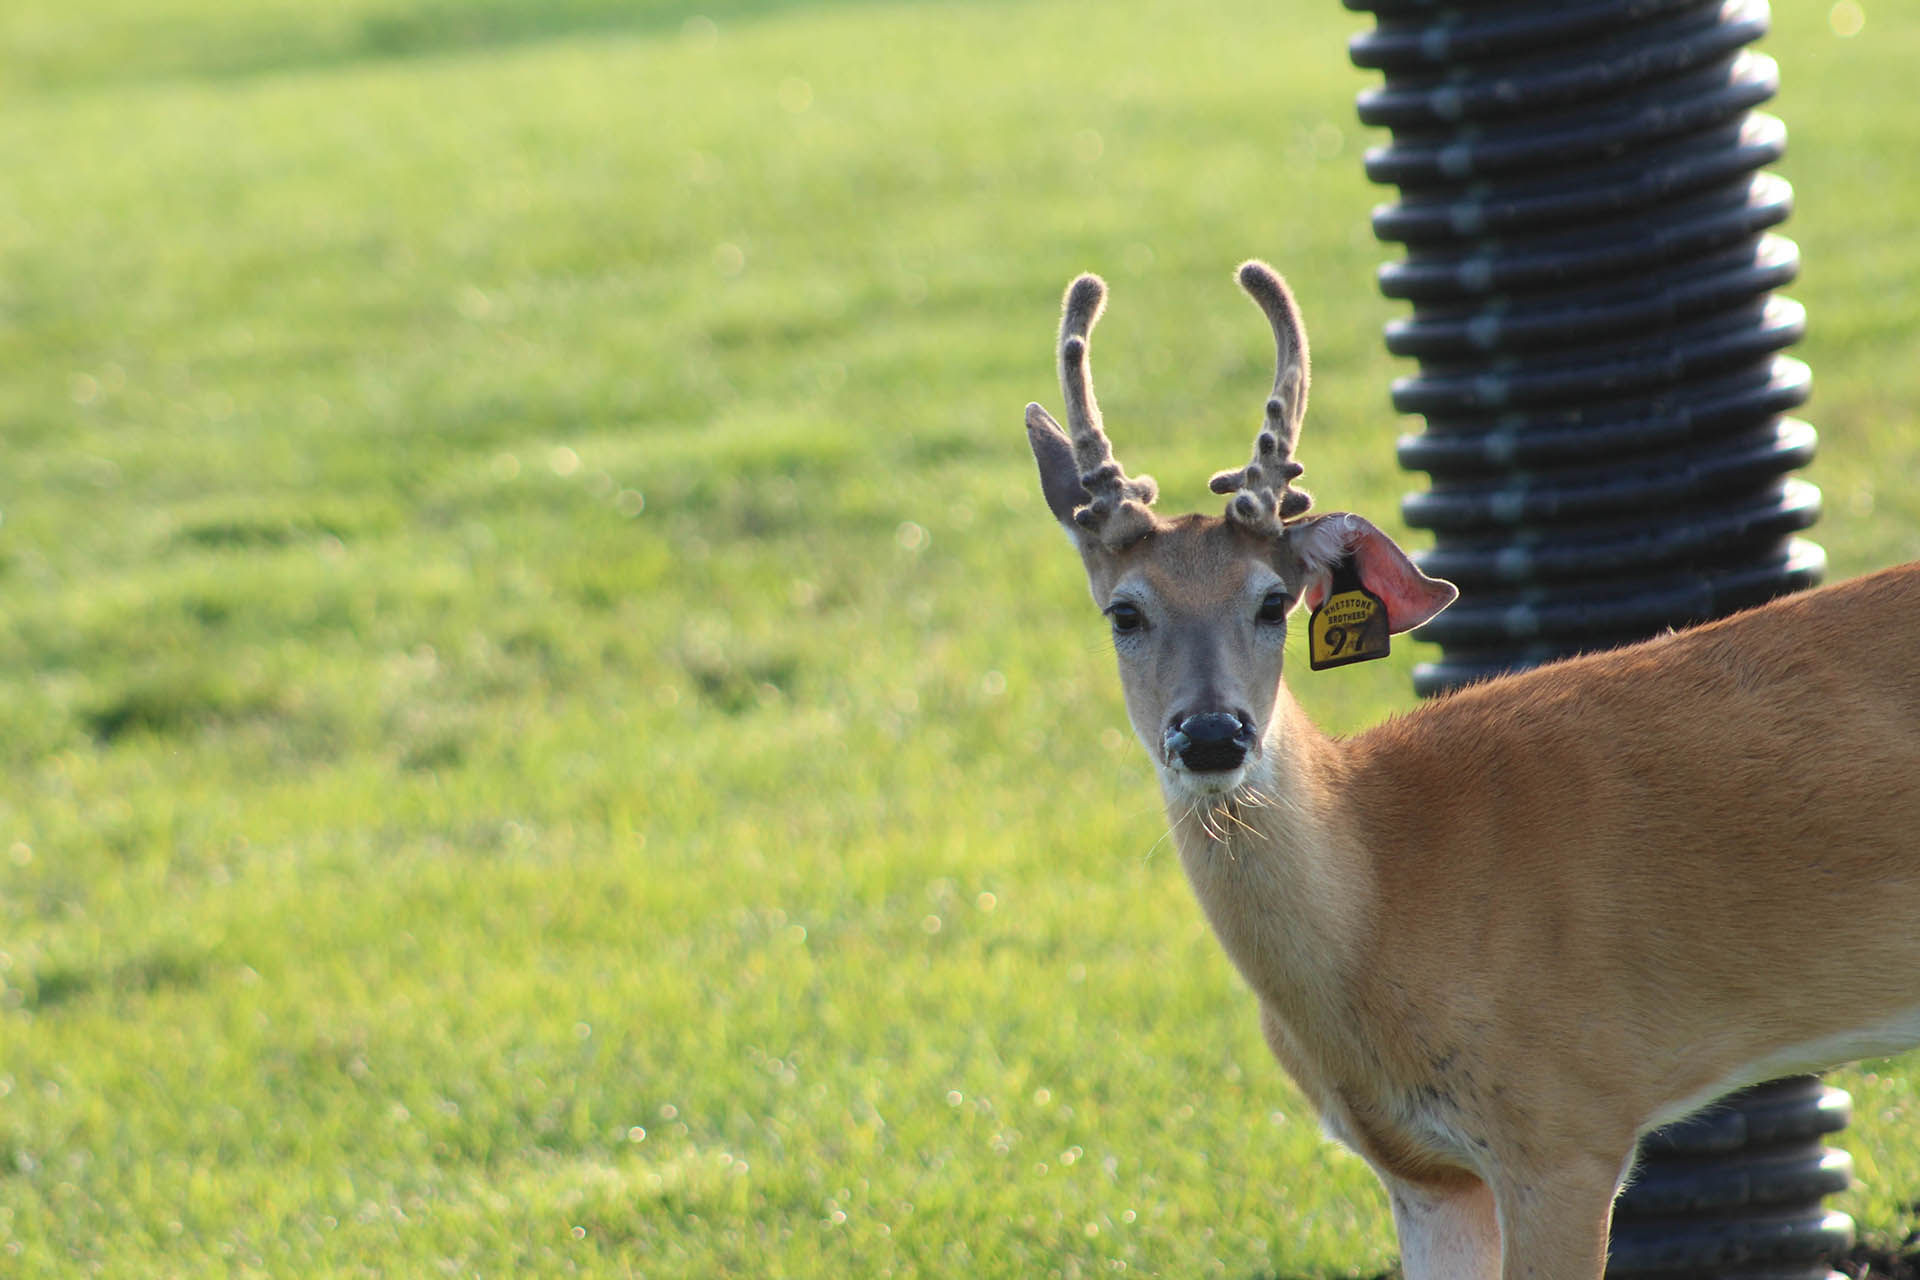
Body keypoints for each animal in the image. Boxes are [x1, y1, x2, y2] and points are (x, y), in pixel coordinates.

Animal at [1029, 255, 1920, 1274]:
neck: (1383, 899)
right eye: (1124, 612)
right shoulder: (1423, 1173)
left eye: (1272, 602)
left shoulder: (1567, 1117)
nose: (1213, 734)